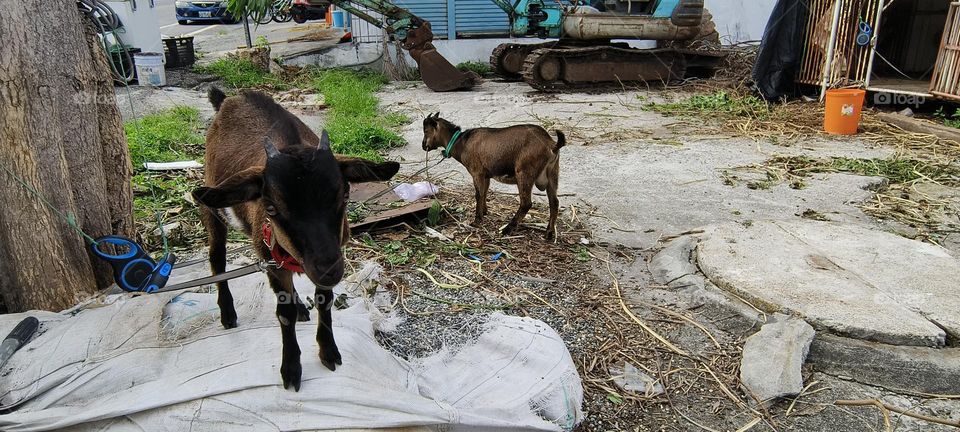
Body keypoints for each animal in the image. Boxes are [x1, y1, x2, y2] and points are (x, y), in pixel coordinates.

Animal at [192, 88, 399, 391]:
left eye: (345, 195)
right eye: (271, 208)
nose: (328, 269)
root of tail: (228, 99)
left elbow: (324, 300)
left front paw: (329, 351)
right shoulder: (272, 259)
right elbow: (284, 313)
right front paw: (291, 368)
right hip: (212, 208)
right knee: (217, 259)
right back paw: (228, 313)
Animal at [421, 113, 564, 241]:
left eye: (426, 131)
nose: (423, 146)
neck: (461, 142)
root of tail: (551, 145)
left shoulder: (477, 172)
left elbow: (478, 194)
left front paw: (477, 220)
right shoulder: (486, 175)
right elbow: (485, 192)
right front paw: (484, 212)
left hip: (524, 172)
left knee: (526, 203)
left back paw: (507, 229)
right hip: (553, 173)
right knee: (554, 202)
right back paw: (549, 233)